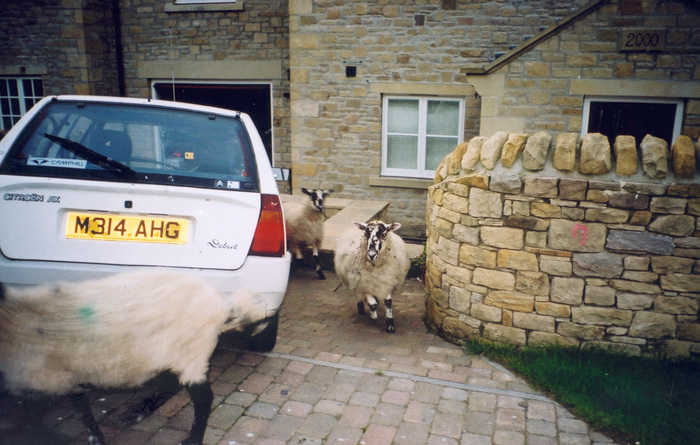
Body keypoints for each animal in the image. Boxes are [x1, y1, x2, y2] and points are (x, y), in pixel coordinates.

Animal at [0, 269, 267, 445]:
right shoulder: (52, 378)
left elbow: (61, 413)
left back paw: (191, 439)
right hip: (169, 354)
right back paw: (135, 414)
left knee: (203, 398)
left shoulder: (52, 376)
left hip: (190, 352)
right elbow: (37, 413)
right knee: (171, 386)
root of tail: (221, 305)